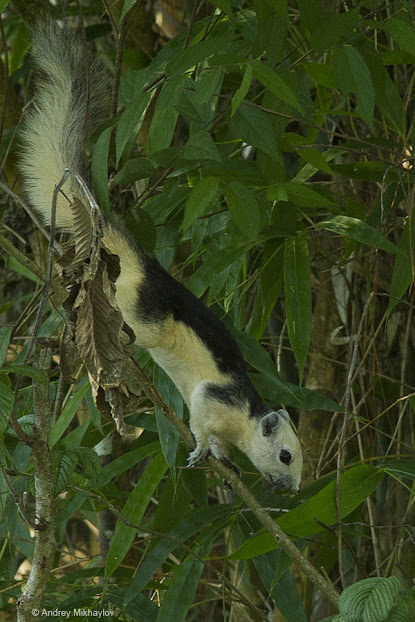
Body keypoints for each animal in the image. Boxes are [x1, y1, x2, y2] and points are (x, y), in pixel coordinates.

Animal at [19, 22, 304, 494]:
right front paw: (202, 453)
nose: (294, 489)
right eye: (286, 455)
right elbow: (203, 425)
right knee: (135, 328)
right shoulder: (210, 400)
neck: (244, 422)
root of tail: (142, 267)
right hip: (146, 315)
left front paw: (227, 469)